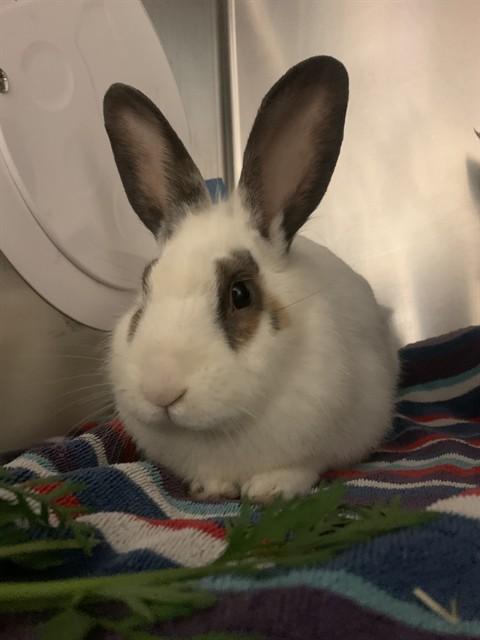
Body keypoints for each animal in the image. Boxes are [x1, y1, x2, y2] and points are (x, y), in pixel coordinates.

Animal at [103, 56, 399, 502]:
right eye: (144, 287)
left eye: (240, 294)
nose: (161, 390)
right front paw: (211, 489)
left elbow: (300, 467)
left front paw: (271, 489)